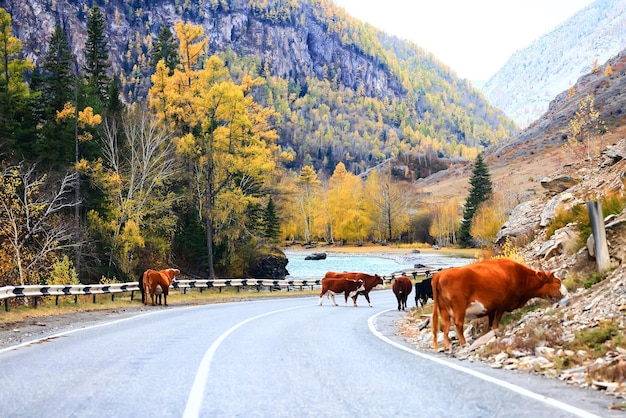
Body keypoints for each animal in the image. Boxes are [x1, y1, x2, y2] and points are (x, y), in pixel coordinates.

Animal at [428, 260, 564, 352]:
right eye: (558, 282)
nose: (564, 293)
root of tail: (440, 274)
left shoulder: (491, 308)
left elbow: (490, 323)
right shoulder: (501, 305)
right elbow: (495, 323)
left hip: (444, 309)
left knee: (445, 326)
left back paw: (447, 346)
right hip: (459, 306)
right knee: (458, 324)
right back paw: (463, 343)